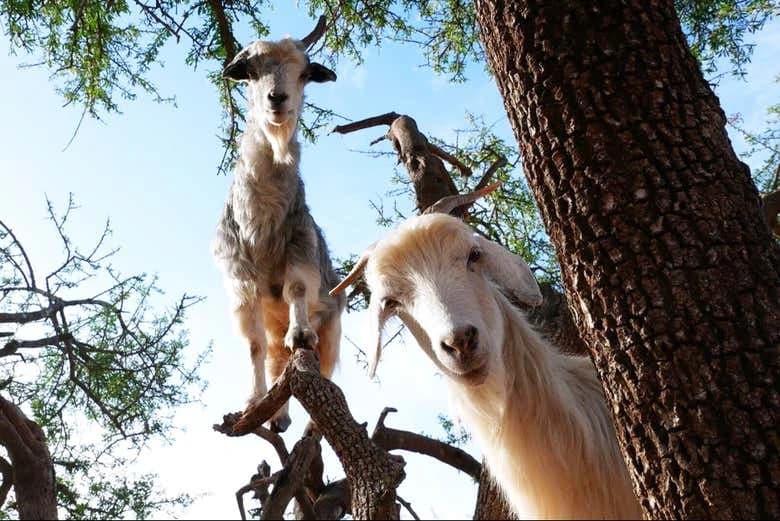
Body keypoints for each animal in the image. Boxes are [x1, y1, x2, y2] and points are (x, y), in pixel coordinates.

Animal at [213, 18, 345, 432]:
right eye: (252, 71)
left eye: (304, 73)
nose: (277, 99)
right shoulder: (240, 279)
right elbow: (253, 347)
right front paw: (253, 401)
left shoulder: (300, 248)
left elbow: (298, 289)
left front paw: (300, 330)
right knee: (275, 359)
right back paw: (278, 417)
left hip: (333, 326)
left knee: (321, 367)